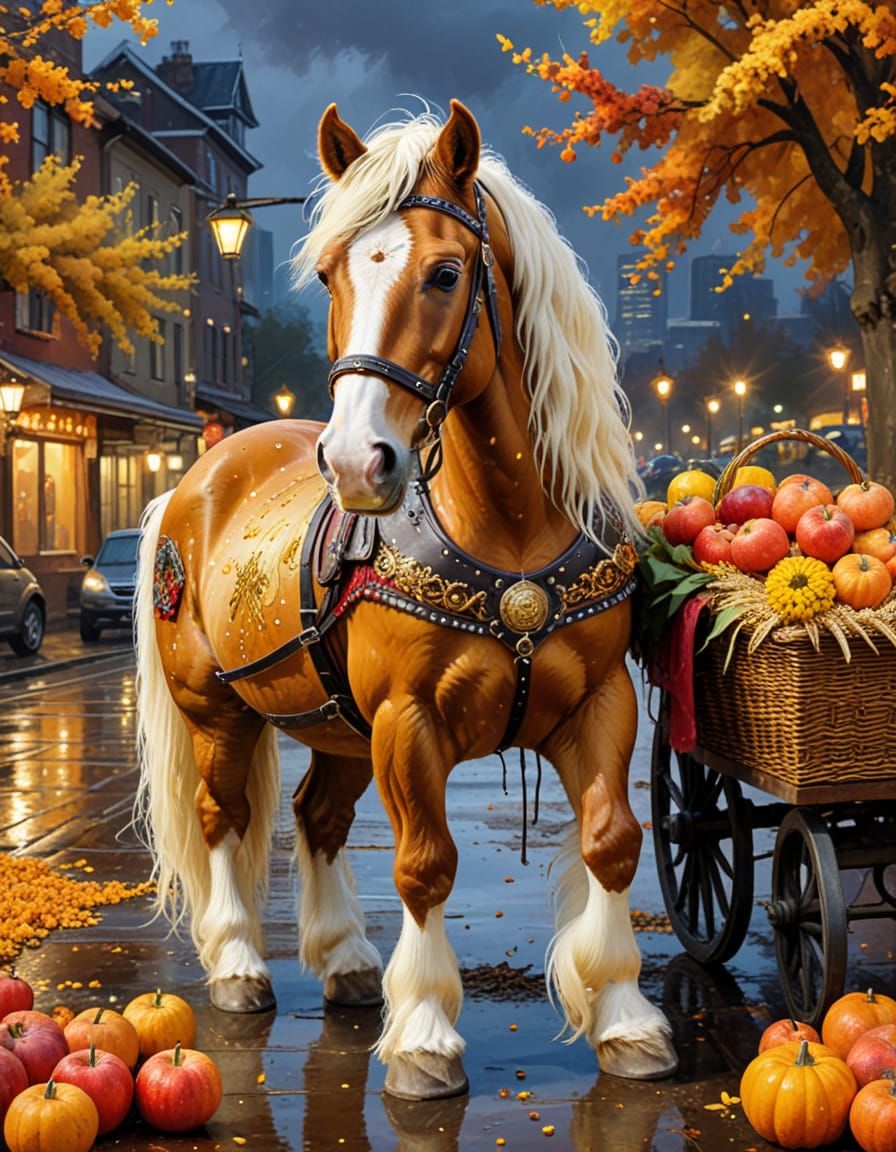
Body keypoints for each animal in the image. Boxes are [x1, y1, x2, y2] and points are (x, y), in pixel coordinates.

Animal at [133, 99, 677, 1100]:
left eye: (446, 272)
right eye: (328, 273)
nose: (356, 463)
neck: (506, 527)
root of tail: (194, 480)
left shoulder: (600, 703)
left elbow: (612, 840)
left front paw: (625, 1016)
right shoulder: (406, 720)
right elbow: (426, 865)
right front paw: (423, 1033)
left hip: (337, 724)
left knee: (316, 816)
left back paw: (346, 958)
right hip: (219, 712)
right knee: (223, 817)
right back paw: (238, 963)